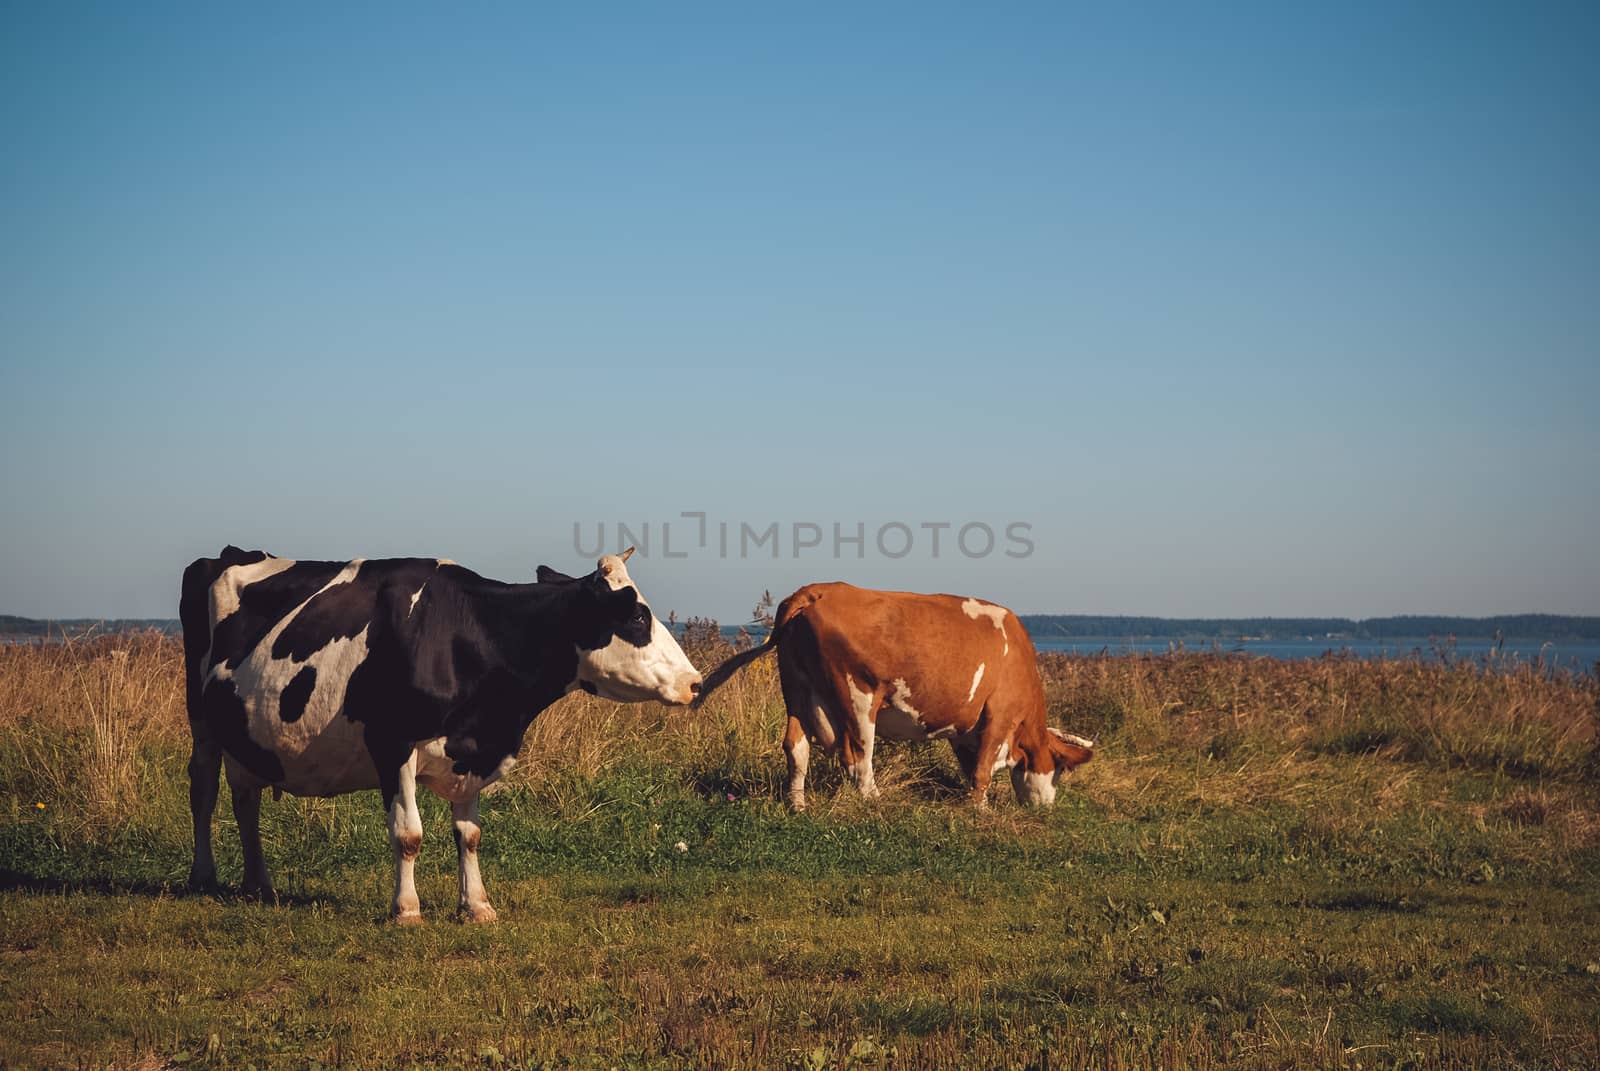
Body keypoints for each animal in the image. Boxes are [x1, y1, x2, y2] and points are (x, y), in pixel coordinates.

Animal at [178, 544, 697, 922]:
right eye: (637, 617)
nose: (694, 682)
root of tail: (230, 552)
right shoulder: (391, 742)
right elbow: (408, 833)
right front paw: (407, 910)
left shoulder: (472, 751)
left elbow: (469, 834)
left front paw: (477, 905)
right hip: (200, 720)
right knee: (203, 788)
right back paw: (204, 876)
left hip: (244, 732)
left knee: (246, 797)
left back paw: (258, 884)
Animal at [694, 579, 1094, 806]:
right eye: (1058, 768)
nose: (1046, 806)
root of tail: (816, 591)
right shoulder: (1000, 712)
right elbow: (981, 770)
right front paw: (977, 810)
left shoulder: (966, 726)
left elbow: (970, 766)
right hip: (857, 697)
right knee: (858, 757)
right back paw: (875, 800)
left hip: (796, 689)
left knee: (796, 748)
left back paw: (798, 805)